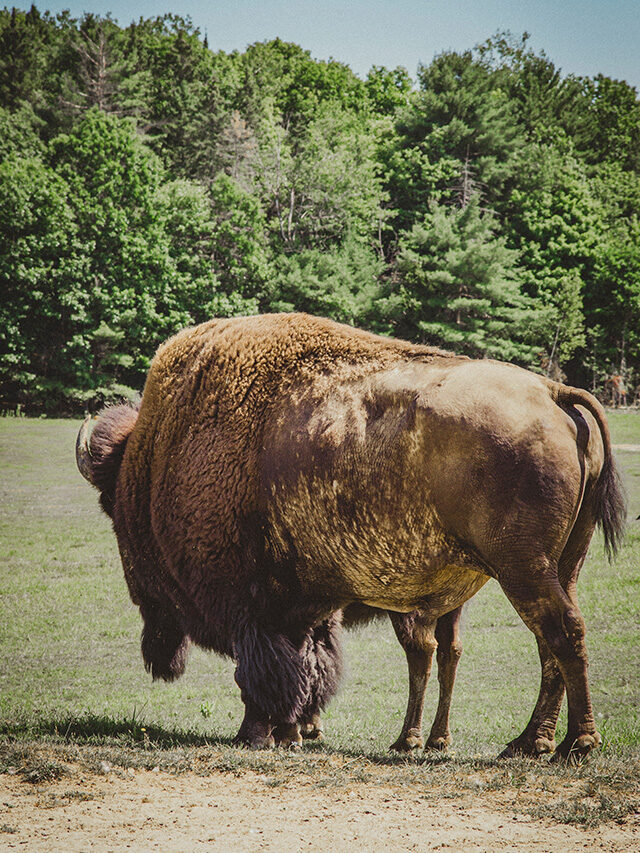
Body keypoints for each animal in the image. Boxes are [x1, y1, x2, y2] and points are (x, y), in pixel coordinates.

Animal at [75, 312, 624, 760]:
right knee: (541, 643)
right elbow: (309, 666)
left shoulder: (251, 607)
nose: (142, 602)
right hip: (561, 566)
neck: (159, 453)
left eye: (112, 509)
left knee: (561, 633)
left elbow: (264, 673)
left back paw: (574, 744)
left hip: (523, 569)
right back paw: (521, 743)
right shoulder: (304, 606)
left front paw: (257, 735)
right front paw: (291, 734)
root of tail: (552, 393)